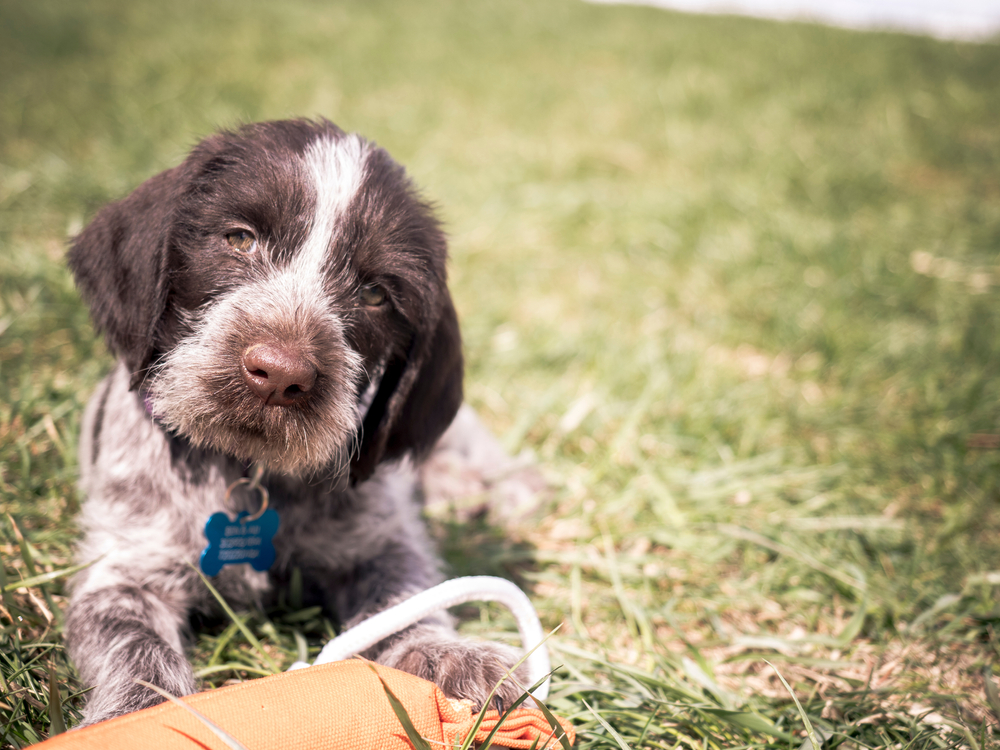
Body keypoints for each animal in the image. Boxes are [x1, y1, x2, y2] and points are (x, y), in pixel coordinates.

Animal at [66, 119, 528, 728]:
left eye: (376, 293)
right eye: (240, 239)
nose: (281, 375)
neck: (249, 472)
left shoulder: (380, 543)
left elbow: (406, 605)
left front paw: (453, 656)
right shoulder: (124, 570)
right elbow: (136, 646)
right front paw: (143, 714)